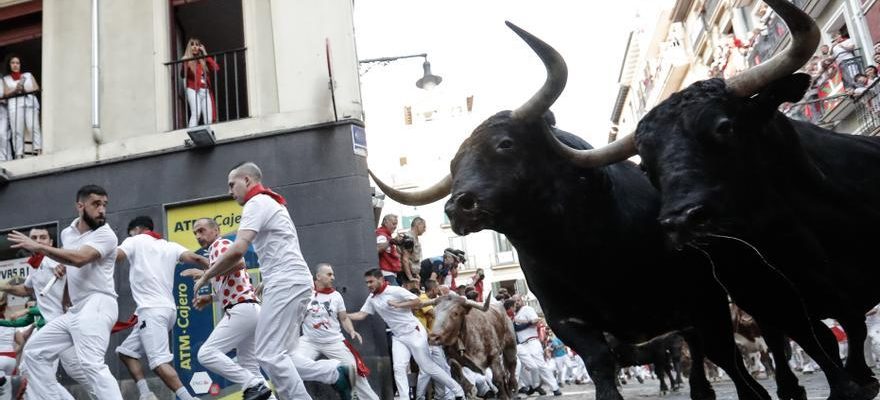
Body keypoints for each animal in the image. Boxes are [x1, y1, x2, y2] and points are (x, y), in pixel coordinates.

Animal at [366, 21, 796, 400]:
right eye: (453, 166)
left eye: (505, 144)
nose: (459, 205)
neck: (584, 249)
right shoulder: (568, 322)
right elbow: (601, 367)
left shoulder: (703, 299)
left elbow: (729, 361)